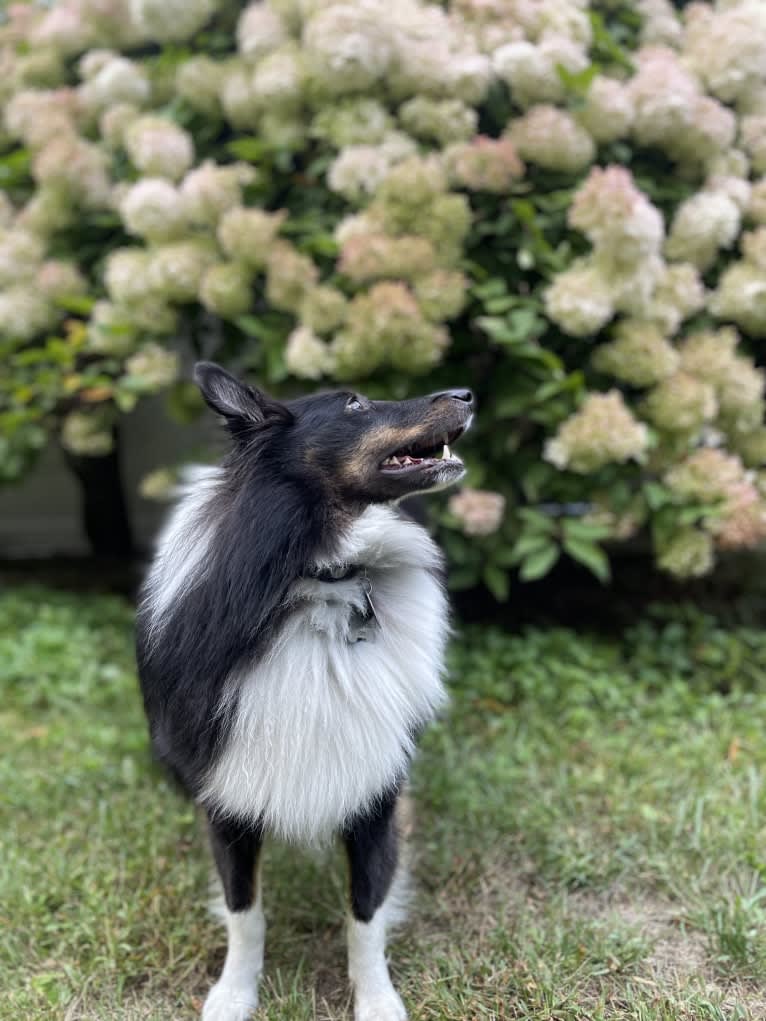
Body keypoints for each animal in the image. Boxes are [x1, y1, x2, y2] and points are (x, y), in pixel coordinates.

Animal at [136, 363, 473, 1016]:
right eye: (355, 404)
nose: (468, 394)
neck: (323, 583)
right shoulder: (228, 795)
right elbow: (245, 911)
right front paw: (235, 993)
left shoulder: (375, 792)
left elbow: (365, 914)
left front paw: (376, 998)